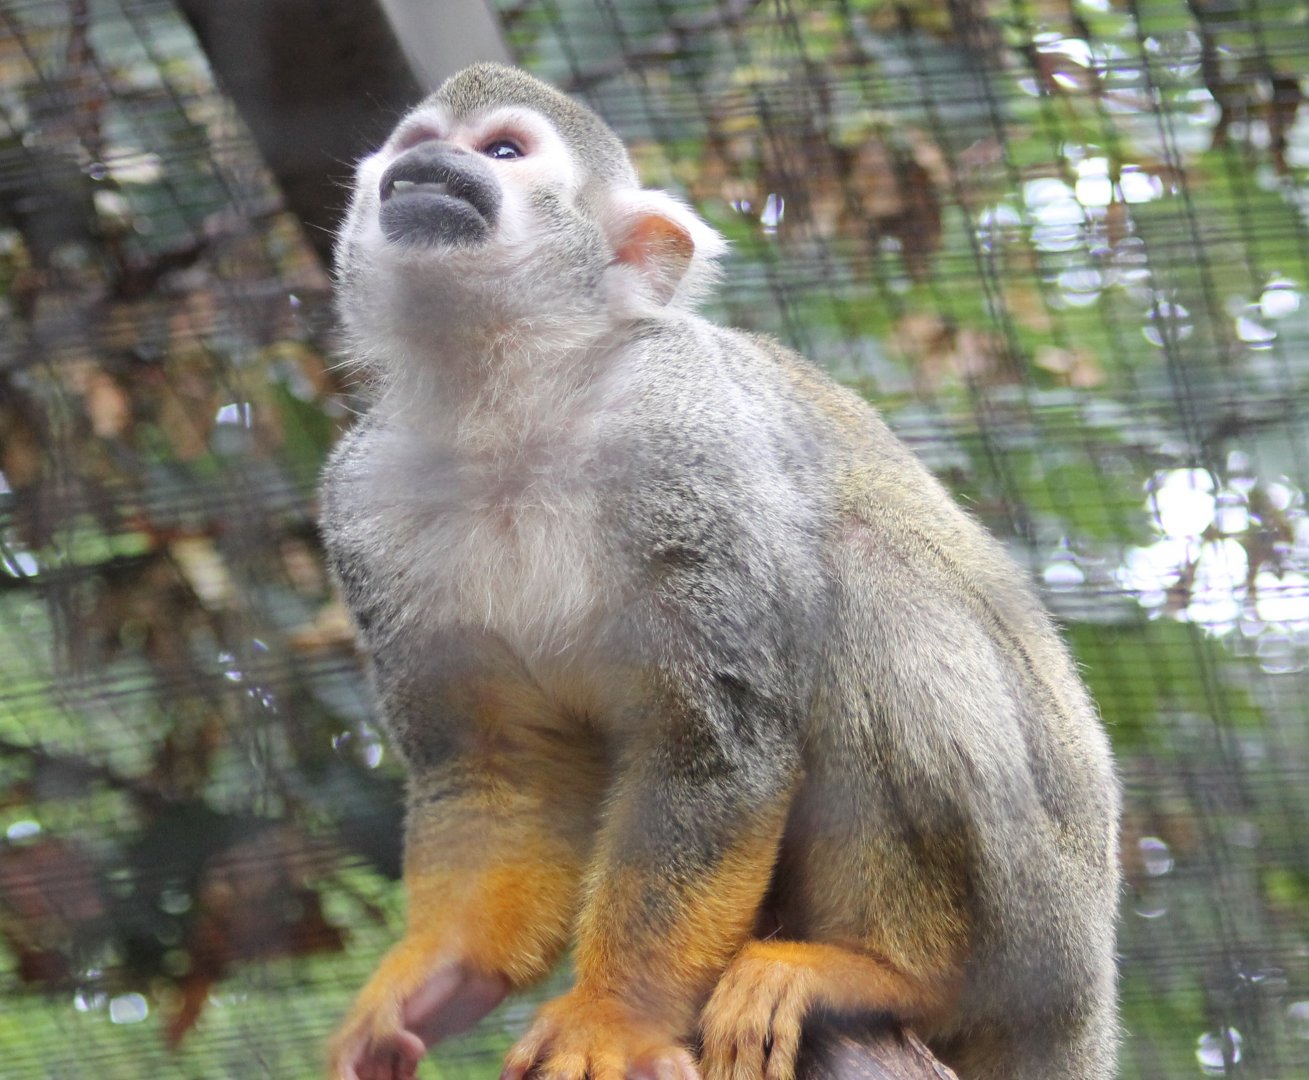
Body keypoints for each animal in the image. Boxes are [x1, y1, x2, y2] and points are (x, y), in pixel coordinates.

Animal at [319, 62, 1120, 1080]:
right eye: (418, 141)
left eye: (501, 149)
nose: (426, 168)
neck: (506, 405)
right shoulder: (364, 499)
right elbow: (494, 762)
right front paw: (438, 974)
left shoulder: (680, 433)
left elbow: (712, 741)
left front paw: (612, 1017)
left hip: (1040, 914)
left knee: (863, 580)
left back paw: (888, 973)